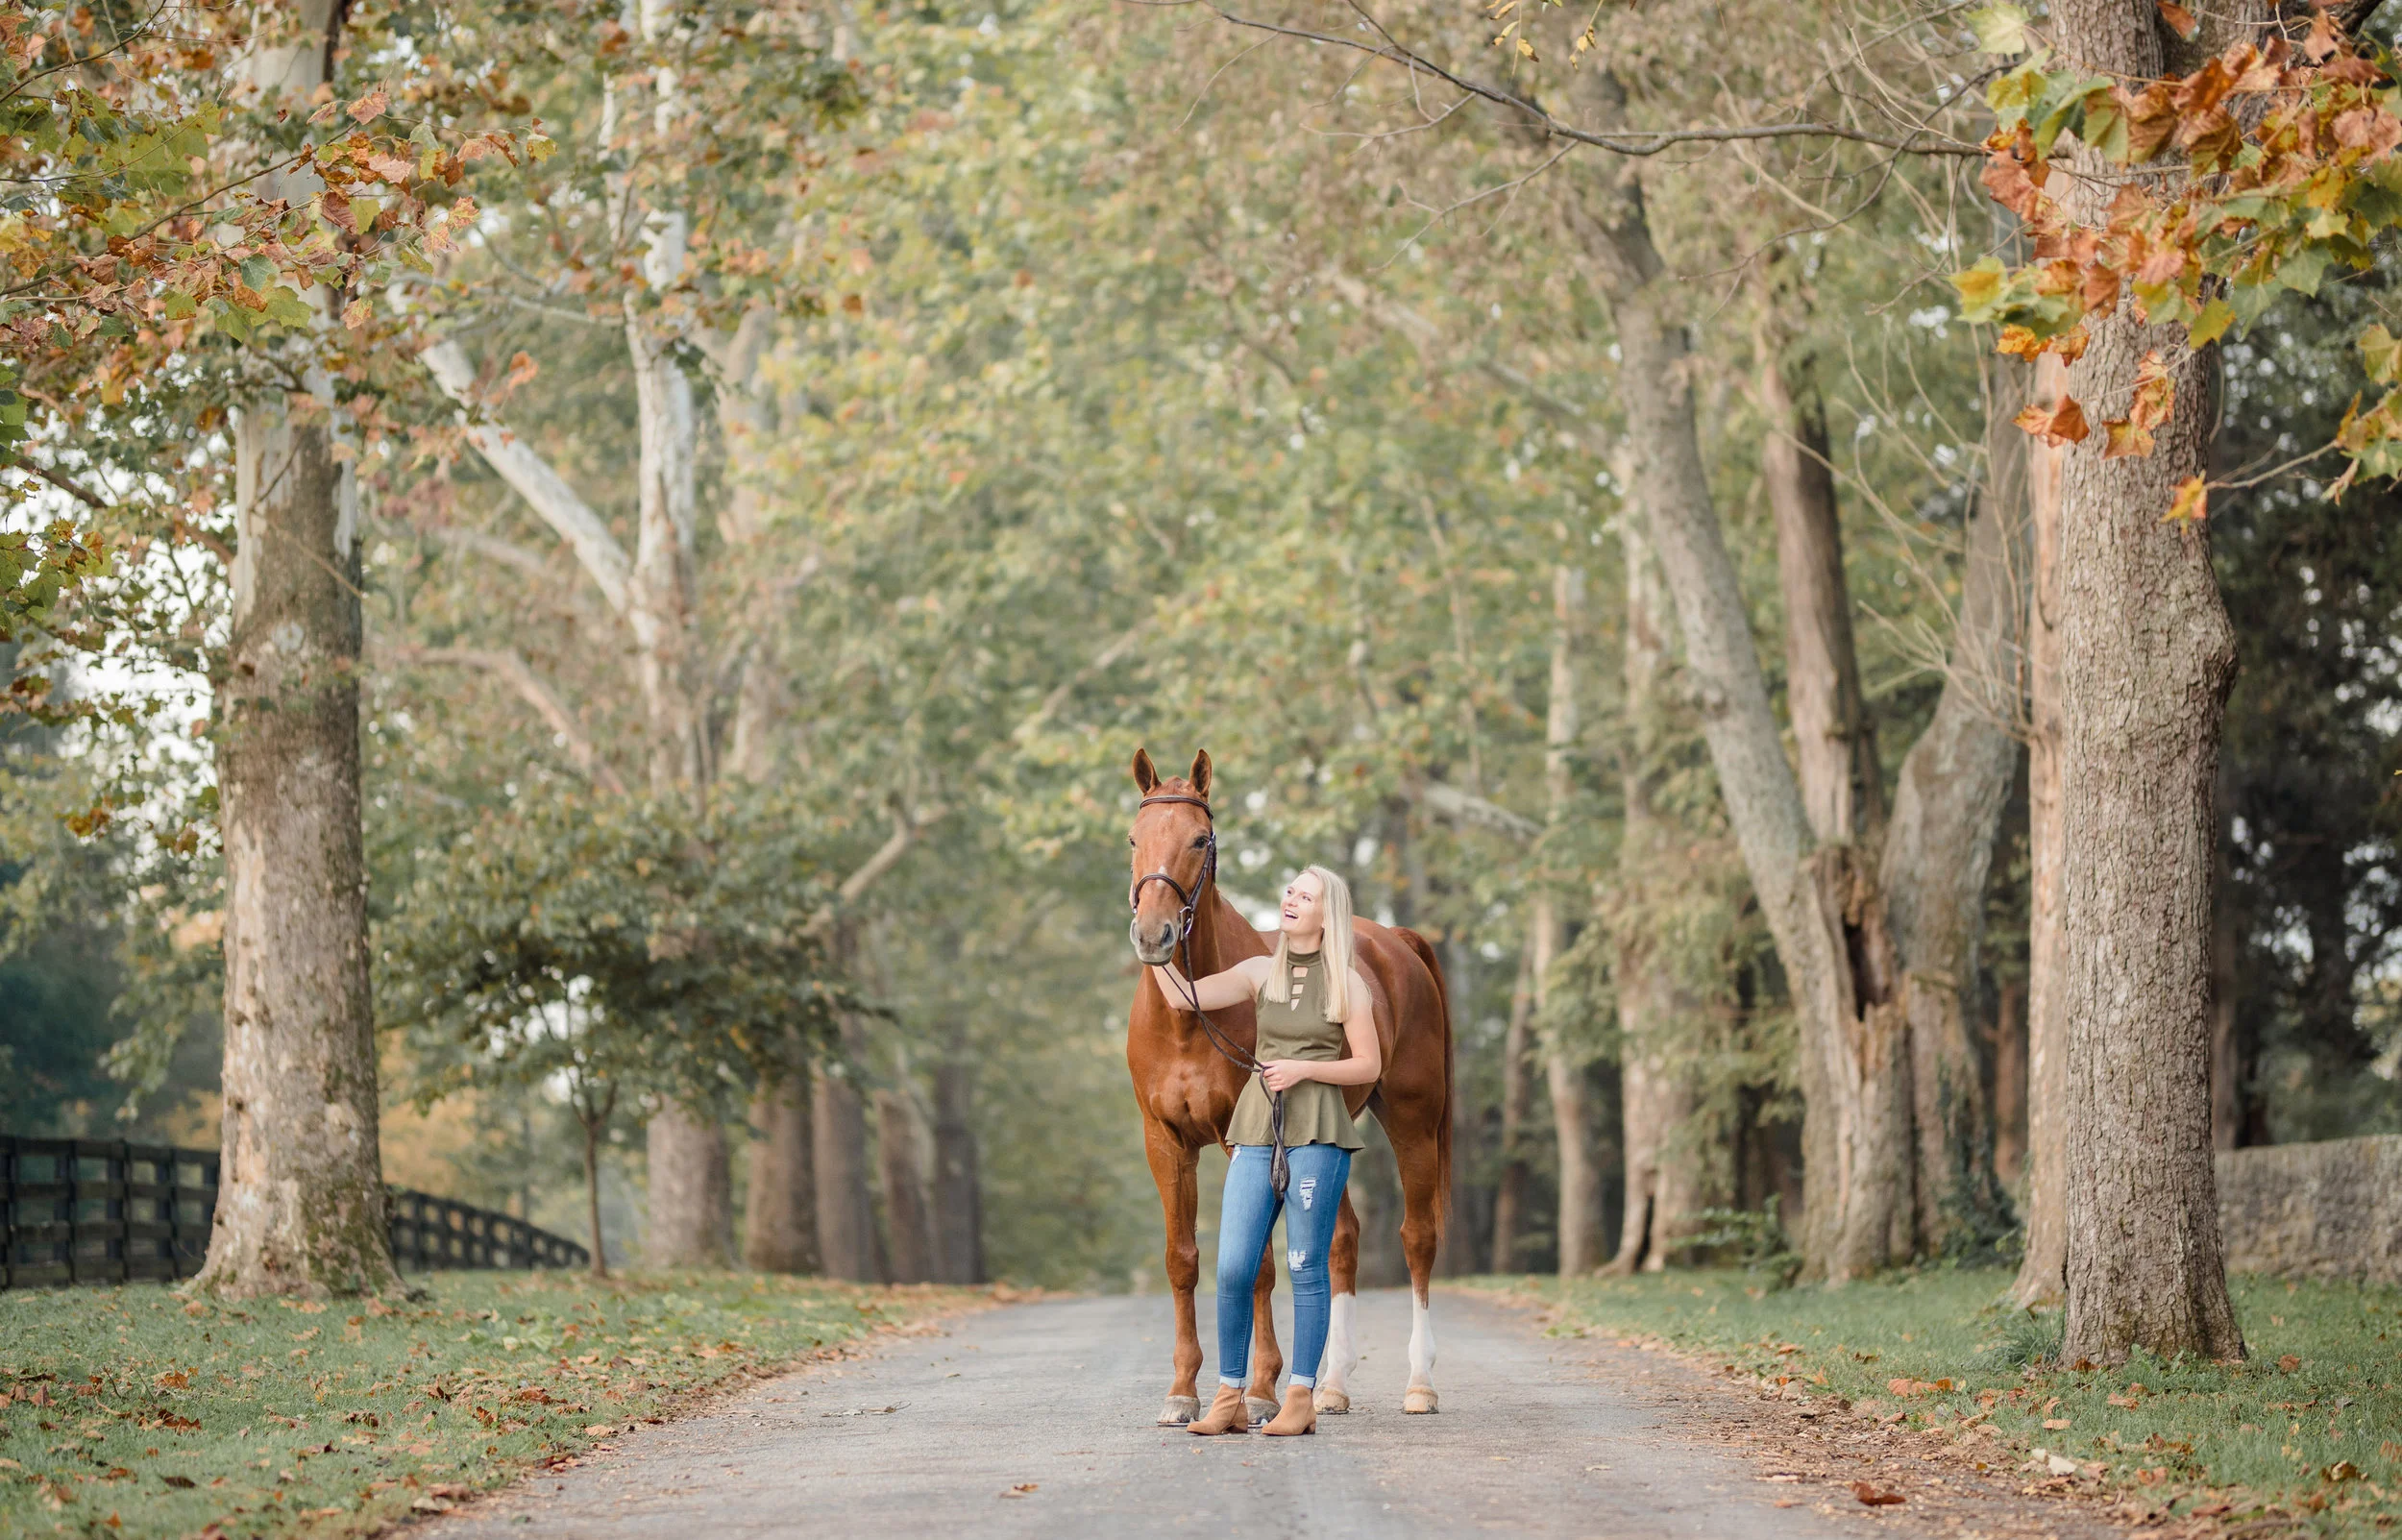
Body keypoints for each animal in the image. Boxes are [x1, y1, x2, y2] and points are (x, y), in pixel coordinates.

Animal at [1123, 747, 1454, 1427]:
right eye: (1135, 838)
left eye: (1199, 839)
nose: (1153, 935)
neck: (1186, 1019)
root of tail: (1396, 941)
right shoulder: (1164, 1142)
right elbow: (1182, 1260)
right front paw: (1182, 1391)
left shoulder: (1242, 1140)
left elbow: (1258, 1269)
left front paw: (1260, 1392)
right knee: (1342, 1242)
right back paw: (1332, 1387)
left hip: (1412, 1120)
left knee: (1418, 1239)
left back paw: (1419, 1385)